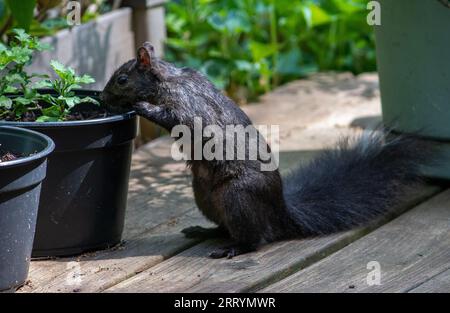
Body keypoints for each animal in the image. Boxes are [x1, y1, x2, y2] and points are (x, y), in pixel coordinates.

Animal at [103, 42, 436, 258]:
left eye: (122, 79)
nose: (104, 98)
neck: (168, 79)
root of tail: (279, 211)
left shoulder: (189, 106)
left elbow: (174, 119)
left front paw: (141, 106)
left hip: (237, 196)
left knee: (255, 238)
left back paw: (234, 249)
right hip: (205, 195)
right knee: (228, 226)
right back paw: (207, 232)